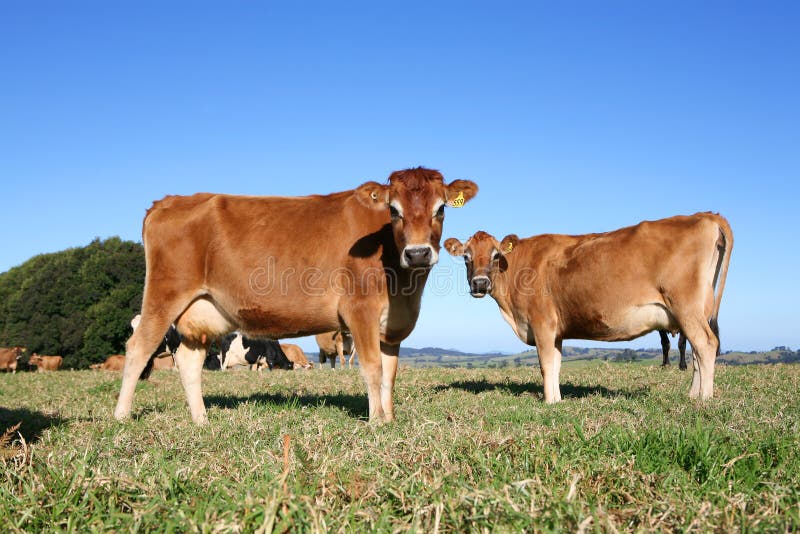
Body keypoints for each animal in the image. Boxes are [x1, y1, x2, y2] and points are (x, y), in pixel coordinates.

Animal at [115, 170, 478, 426]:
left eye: (441, 209)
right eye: (393, 210)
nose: (418, 253)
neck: (404, 288)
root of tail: (168, 201)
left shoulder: (393, 322)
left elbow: (390, 372)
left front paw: (389, 420)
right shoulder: (360, 309)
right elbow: (373, 367)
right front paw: (376, 422)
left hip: (201, 311)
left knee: (190, 362)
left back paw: (201, 420)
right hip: (164, 296)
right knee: (138, 349)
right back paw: (121, 416)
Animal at [446, 214, 736, 406]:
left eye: (495, 255)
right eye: (466, 257)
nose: (480, 283)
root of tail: (704, 215)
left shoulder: (541, 323)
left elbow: (545, 365)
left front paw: (548, 402)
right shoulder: (556, 331)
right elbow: (556, 365)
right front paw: (557, 400)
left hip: (687, 307)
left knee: (706, 345)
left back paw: (704, 400)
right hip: (697, 311)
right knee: (698, 351)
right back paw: (693, 395)